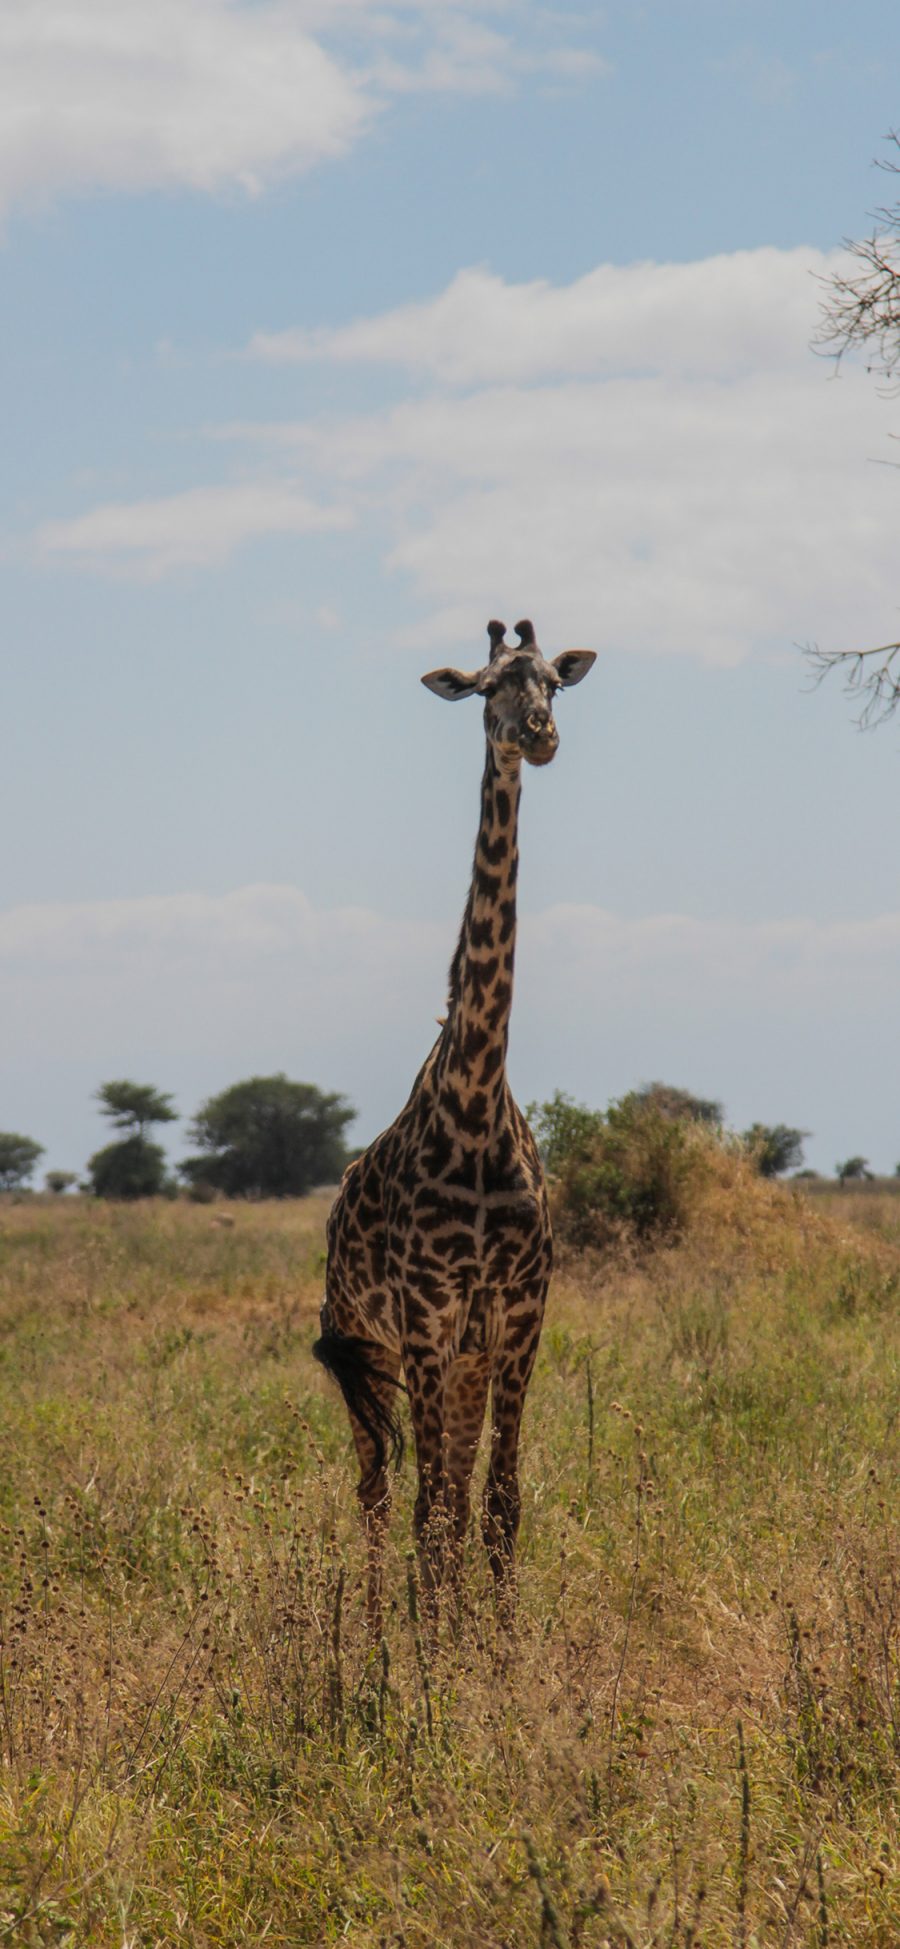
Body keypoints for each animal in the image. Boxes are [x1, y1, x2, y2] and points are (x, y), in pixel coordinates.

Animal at [315, 623, 596, 1629]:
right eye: (483, 687)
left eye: (555, 681)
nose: (538, 735)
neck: (475, 1101)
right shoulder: (426, 1314)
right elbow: (431, 1510)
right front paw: (432, 1651)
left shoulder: (517, 1310)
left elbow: (498, 1503)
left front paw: (496, 1647)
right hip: (364, 1341)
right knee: (378, 1488)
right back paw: (368, 1622)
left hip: (462, 1356)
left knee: (453, 1488)